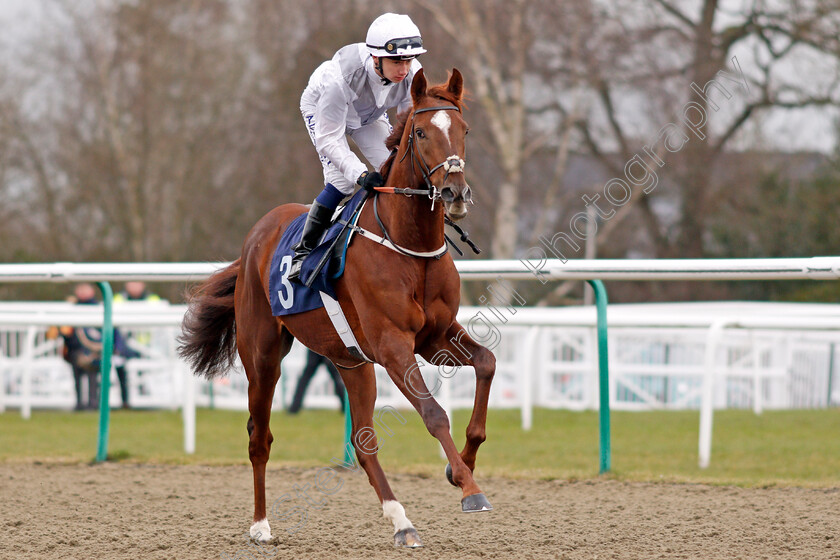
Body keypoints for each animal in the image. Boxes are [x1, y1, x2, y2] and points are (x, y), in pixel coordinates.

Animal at [177, 69, 492, 548]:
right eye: (421, 132)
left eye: (464, 130)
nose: (455, 192)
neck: (409, 245)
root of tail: (255, 236)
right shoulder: (393, 346)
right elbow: (435, 414)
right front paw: (470, 488)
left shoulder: (435, 337)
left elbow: (487, 363)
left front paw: (464, 466)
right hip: (263, 355)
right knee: (259, 437)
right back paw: (261, 525)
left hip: (352, 363)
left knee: (363, 443)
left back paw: (402, 522)